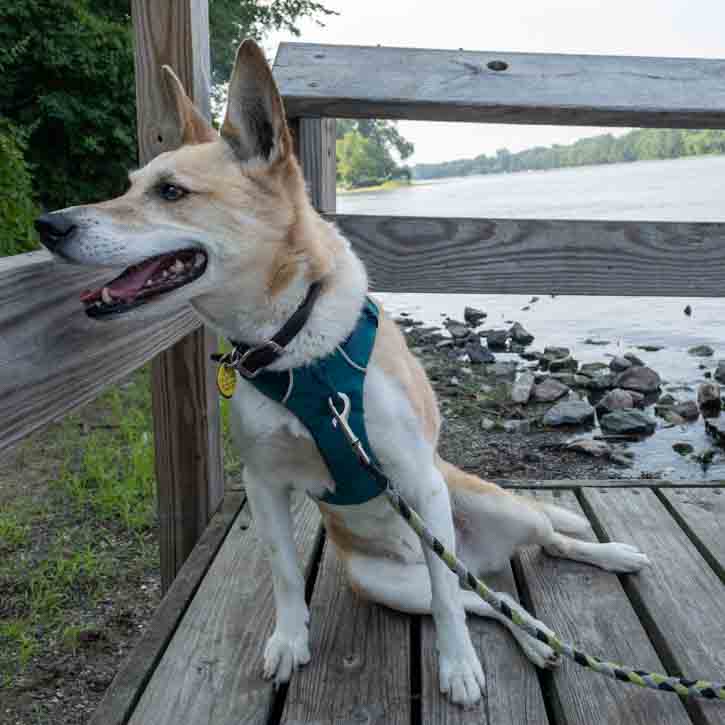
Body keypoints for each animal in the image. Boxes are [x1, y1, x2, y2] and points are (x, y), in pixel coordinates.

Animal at [34, 39, 648, 708]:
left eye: (171, 192)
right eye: (130, 186)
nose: (49, 225)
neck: (292, 343)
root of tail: (473, 552)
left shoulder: (417, 481)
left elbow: (452, 607)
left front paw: (458, 667)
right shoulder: (263, 484)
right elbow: (283, 573)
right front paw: (289, 641)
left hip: (487, 510)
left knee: (527, 553)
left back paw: (613, 557)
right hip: (388, 585)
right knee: (488, 599)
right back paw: (538, 640)